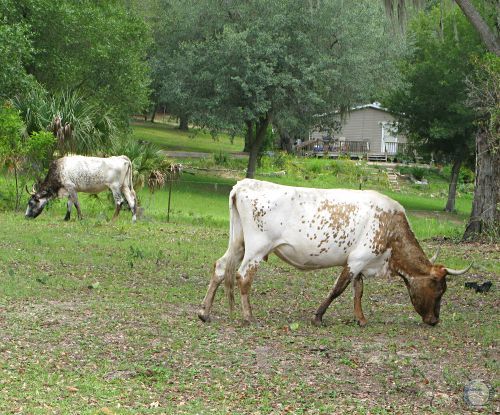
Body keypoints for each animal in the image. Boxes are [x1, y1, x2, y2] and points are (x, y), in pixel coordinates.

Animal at [197, 179, 470, 328]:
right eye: (440, 290)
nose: (434, 320)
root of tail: (245, 184)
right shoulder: (358, 259)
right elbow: (339, 289)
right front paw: (318, 316)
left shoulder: (361, 262)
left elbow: (358, 291)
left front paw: (361, 319)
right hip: (257, 247)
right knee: (243, 276)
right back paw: (248, 317)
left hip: (238, 242)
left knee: (220, 267)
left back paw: (204, 313)